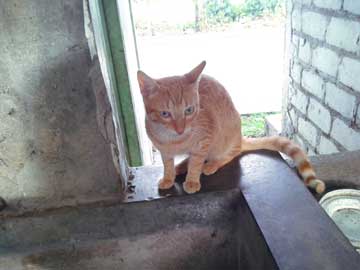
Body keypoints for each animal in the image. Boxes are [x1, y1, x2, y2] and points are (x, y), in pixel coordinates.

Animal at [136, 60, 324, 194]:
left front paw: (192, 180)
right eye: (165, 114)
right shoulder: (164, 150)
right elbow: (168, 164)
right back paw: (181, 166)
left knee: (230, 153)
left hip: (226, 139)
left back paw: (210, 164)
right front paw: (168, 177)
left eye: (189, 110)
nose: (180, 129)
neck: (175, 140)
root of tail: (240, 137)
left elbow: (196, 162)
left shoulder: (204, 141)